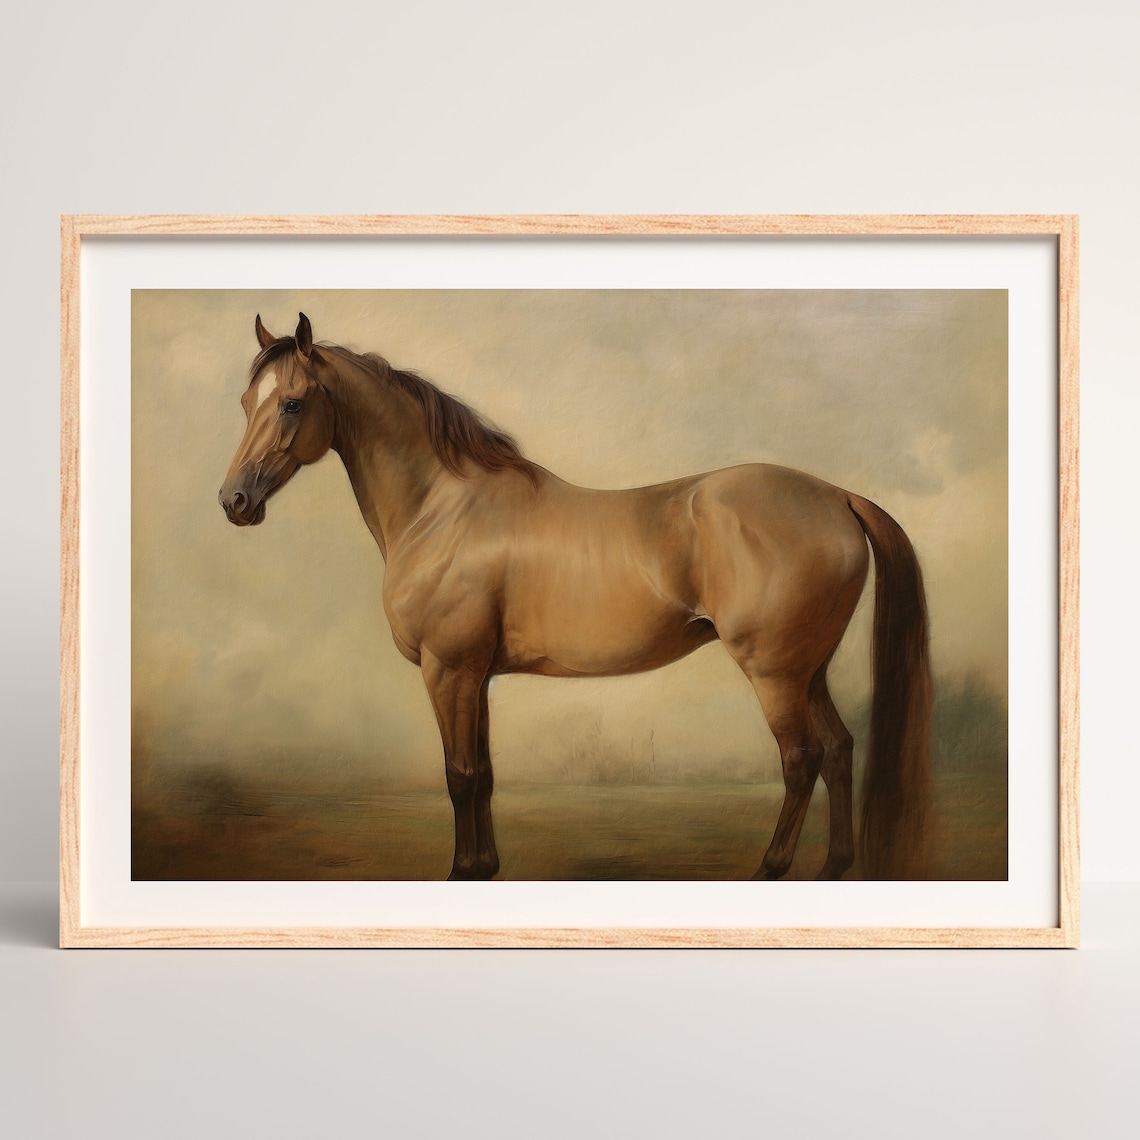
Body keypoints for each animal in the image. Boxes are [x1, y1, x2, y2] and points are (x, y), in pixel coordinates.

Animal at [219, 313, 933, 881]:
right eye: (247, 401)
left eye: (291, 404)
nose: (235, 501)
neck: (443, 508)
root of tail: (836, 496)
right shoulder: (475, 676)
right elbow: (483, 775)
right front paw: (485, 868)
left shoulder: (448, 669)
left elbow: (459, 777)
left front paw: (462, 872)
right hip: (810, 669)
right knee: (839, 751)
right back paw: (834, 867)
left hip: (775, 673)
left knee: (802, 760)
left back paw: (770, 869)